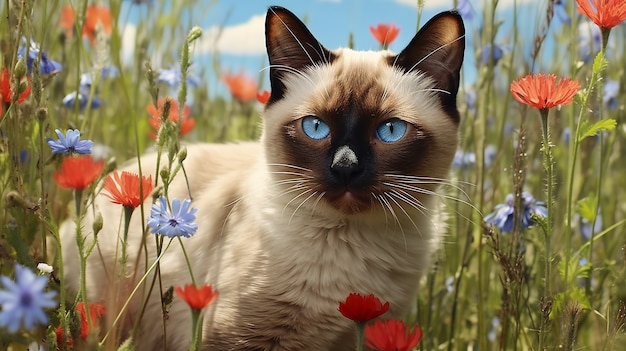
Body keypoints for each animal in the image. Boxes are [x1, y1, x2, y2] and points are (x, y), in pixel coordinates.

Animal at [62, 6, 464, 351]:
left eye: (390, 131)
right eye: (315, 127)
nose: (346, 167)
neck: (352, 245)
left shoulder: (364, 332)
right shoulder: (241, 337)